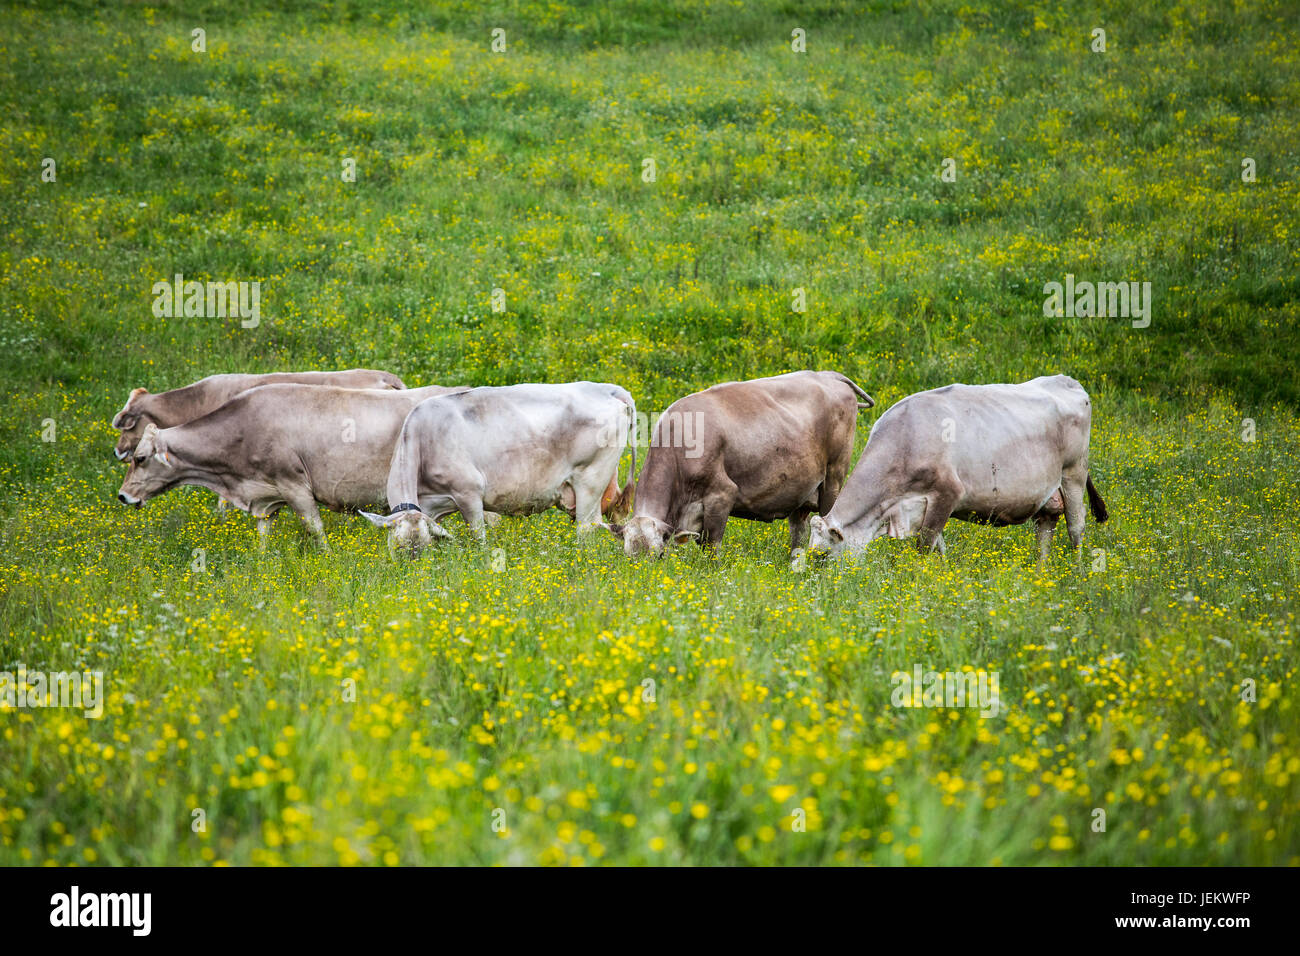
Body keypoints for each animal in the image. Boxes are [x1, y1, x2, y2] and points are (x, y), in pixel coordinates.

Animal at [115, 382, 462, 546]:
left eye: (140, 458)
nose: (123, 495)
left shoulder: (294, 485)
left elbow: (315, 529)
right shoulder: (266, 496)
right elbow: (263, 534)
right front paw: (262, 562)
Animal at [358, 382, 637, 556]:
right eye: (397, 549)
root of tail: (607, 389)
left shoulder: (468, 493)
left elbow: (478, 537)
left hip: (590, 481)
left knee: (587, 529)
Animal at [608, 369, 873, 556]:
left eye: (659, 556)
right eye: (630, 558)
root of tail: (829, 375)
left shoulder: (722, 496)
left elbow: (711, 549)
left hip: (833, 479)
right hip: (803, 490)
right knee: (799, 530)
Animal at [811, 374, 1107, 567]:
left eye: (822, 555)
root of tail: (1066, 380)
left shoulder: (947, 493)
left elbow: (925, 546)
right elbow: (939, 547)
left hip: (1074, 473)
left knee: (1076, 527)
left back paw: (1078, 572)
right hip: (1048, 493)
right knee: (1045, 528)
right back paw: (1041, 573)